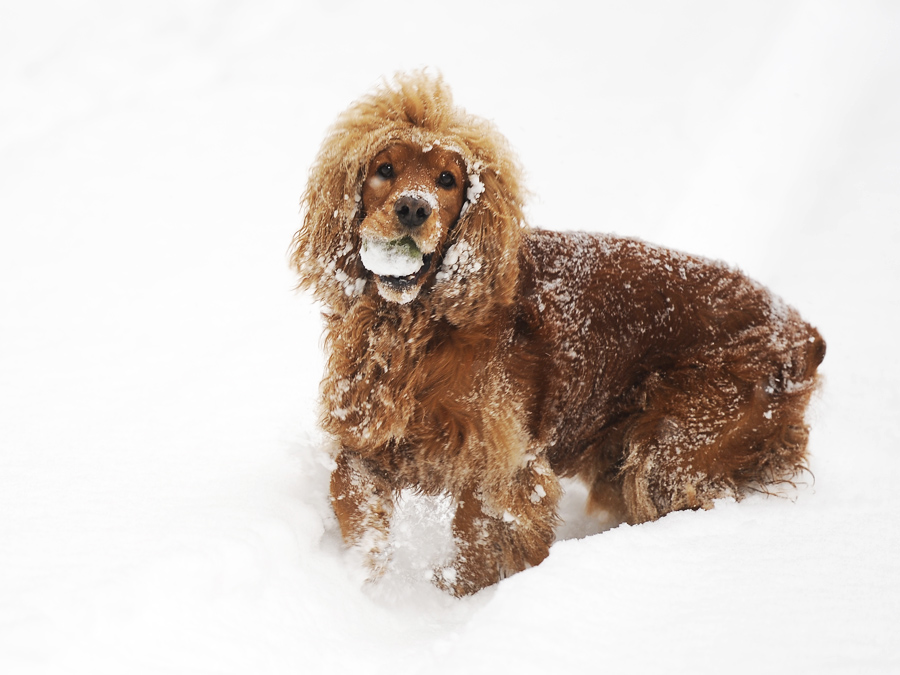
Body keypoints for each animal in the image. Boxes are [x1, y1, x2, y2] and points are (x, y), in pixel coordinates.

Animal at [292, 71, 828, 596]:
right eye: (385, 170)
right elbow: (352, 497)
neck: (418, 324)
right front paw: (362, 579)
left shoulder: (503, 464)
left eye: (447, 180)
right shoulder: (369, 429)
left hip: (673, 447)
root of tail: (804, 333)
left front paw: (460, 600)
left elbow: (478, 542)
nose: (412, 209)